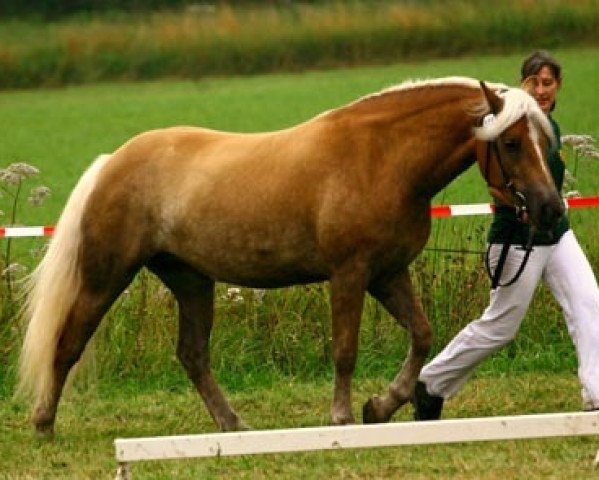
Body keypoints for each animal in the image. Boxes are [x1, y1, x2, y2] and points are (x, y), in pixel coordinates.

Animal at [17, 76, 564, 436]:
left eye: (544, 139)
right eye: (511, 142)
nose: (550, 208)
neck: (381, 159)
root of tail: (114, 161)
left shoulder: (388, 274)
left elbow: (423, 335)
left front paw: (380, 406)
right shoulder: (350, 275)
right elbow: (345, 350)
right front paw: (342, 416)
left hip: (192, 281)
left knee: (193, 355)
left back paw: (234, 425)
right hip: (106, 277)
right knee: (67, 343)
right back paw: (44, 425)